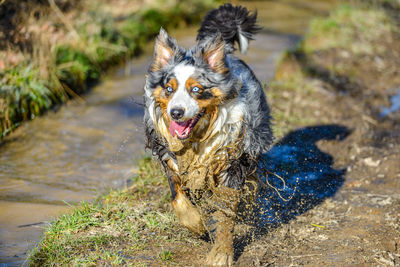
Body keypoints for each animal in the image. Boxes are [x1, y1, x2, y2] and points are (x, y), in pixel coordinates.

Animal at [143, 3, 272, 266]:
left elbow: (224, 212)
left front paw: (221, 253)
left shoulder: (230, 161)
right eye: (169, 89)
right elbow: (177, 198)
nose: (176, 112)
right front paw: (197, 224)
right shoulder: (170, 159)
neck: (198, 138)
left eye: (196, 89)